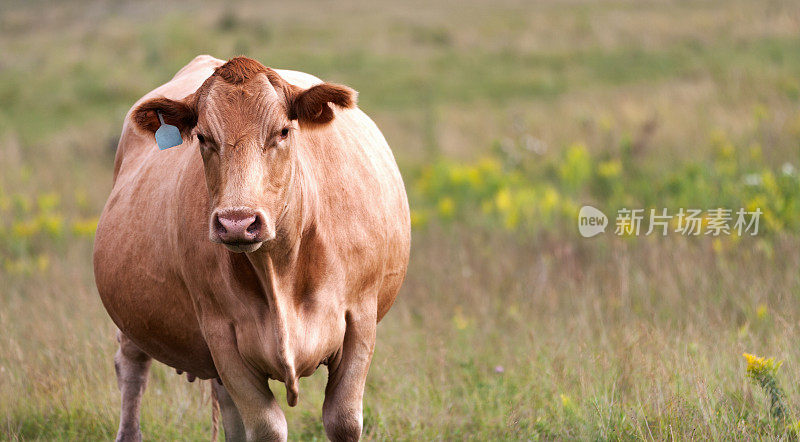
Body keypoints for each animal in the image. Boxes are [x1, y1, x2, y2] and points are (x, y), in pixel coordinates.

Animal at [92, 56, 412, 442]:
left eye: (283, 132)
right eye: (202, 137)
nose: (237, 222)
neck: (279, 268)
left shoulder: (360, 321)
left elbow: (344, 420)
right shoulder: (221, 335)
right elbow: (266, 426)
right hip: (130, 317)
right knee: (132, 369)